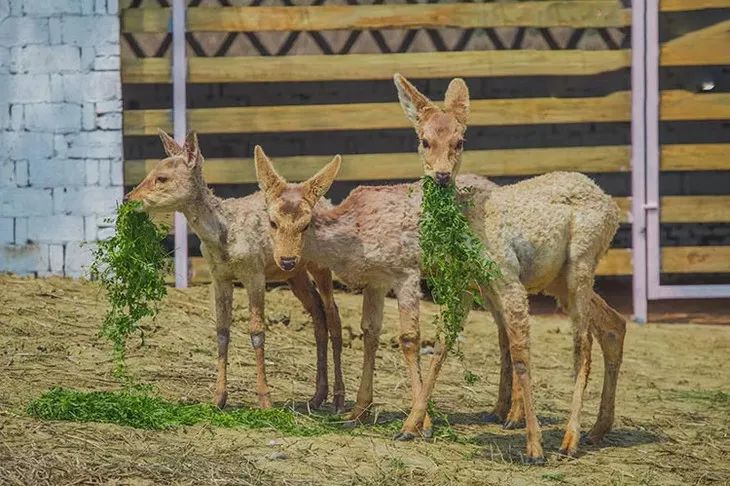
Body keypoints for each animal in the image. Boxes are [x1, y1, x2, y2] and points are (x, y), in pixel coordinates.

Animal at [125, 131, 344, 412]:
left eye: (161, 177)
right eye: (150, 171)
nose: (128, 199)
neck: (223, 237)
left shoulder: (254, 272)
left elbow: (257, 331)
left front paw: (265, 400)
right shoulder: (219, 276)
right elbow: (221, 331)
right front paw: (218, 398)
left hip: (320, 265)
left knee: (333, 314)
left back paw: (338, 400)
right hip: (293, 273)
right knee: (317, 312)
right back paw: (317, 397)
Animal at [392, 72, 624, 460]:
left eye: (460, 140)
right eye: (424, 140)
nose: (441, 175)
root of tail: (614, 207)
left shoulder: (508, 277)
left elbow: (520, 354)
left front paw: (533, 445)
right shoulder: (466, 285)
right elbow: (441, 346)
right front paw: (410, 427)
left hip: (581, 261)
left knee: (583, 346)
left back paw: (569, 439)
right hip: (559, 278)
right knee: (613, 324)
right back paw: (597, 430)